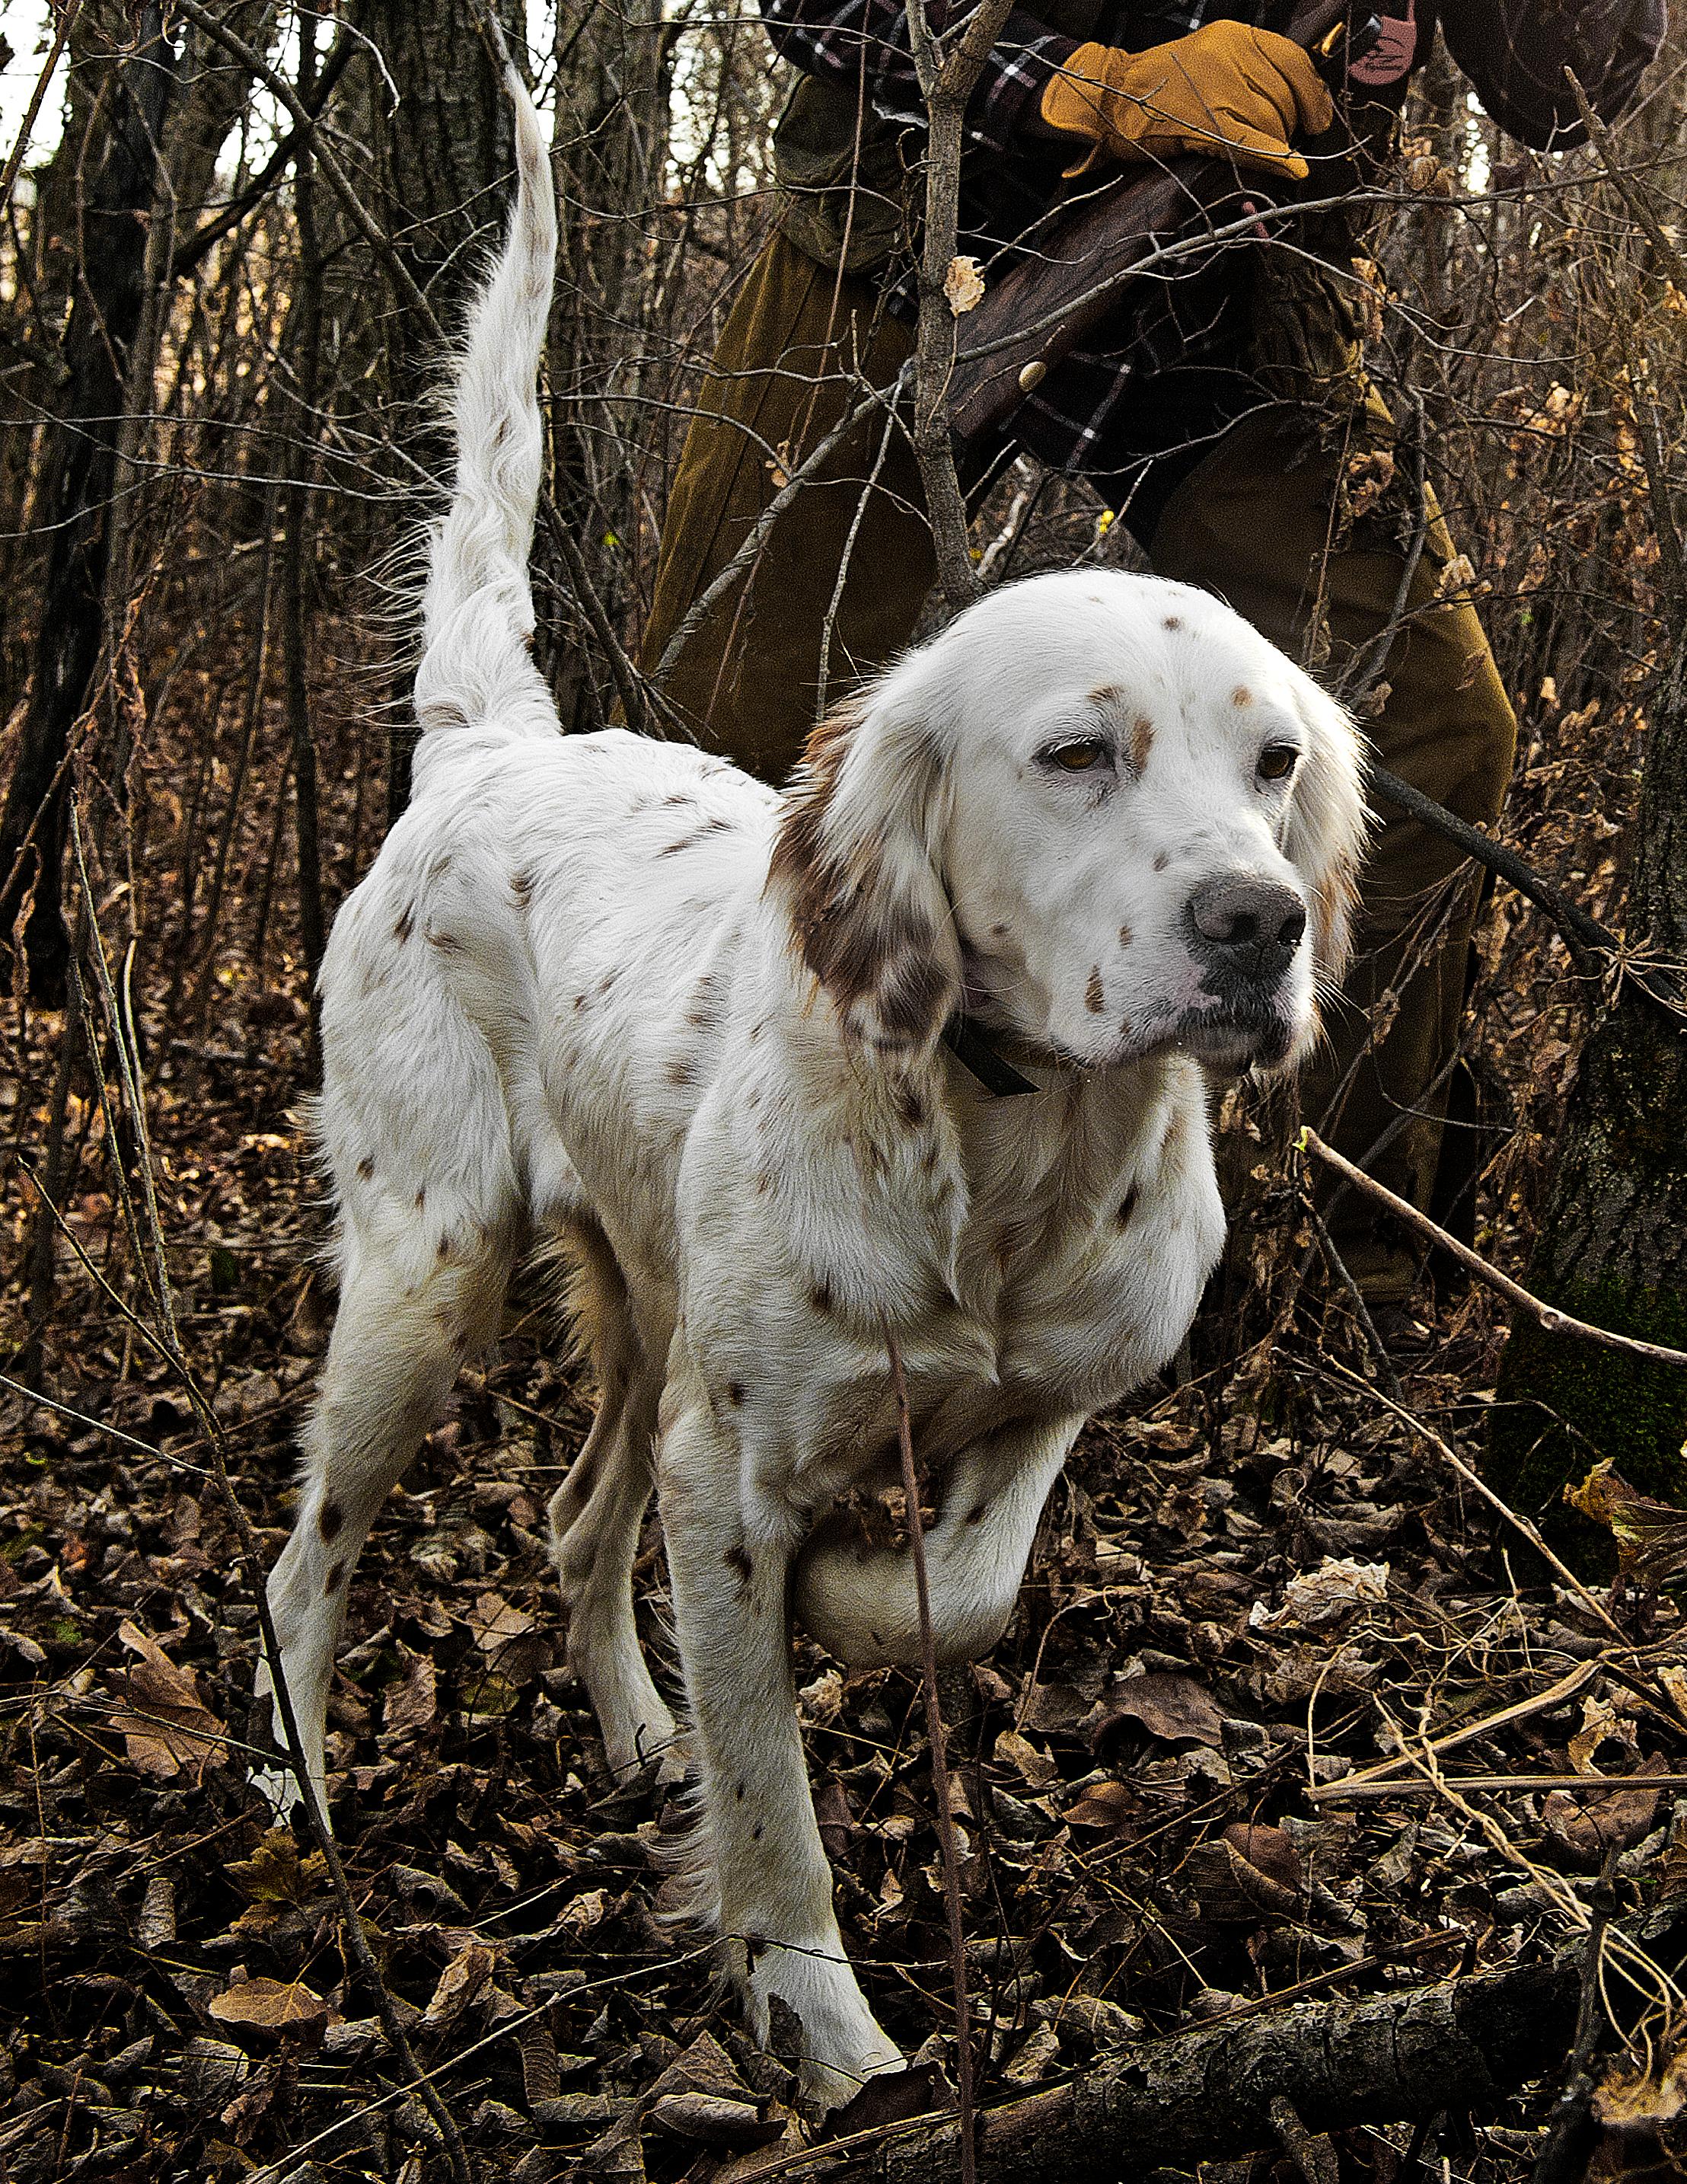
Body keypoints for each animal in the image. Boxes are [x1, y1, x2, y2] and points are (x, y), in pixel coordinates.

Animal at [260, 63, 1370, 2096]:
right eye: (1077, 753)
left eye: (1273, 764)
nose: (1259, 926)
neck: (1005, 1160)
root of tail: (487, 751)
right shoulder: (735, 1467)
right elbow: (775, 1796)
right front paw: (827, 2024)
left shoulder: (1064, 1386)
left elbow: (970, 1579)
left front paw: (864, 1603)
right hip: (426, 1272)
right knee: (305, 1566)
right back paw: (296, 1788)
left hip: (638, 1299)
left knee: (575, 1518)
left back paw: (638, 1732)